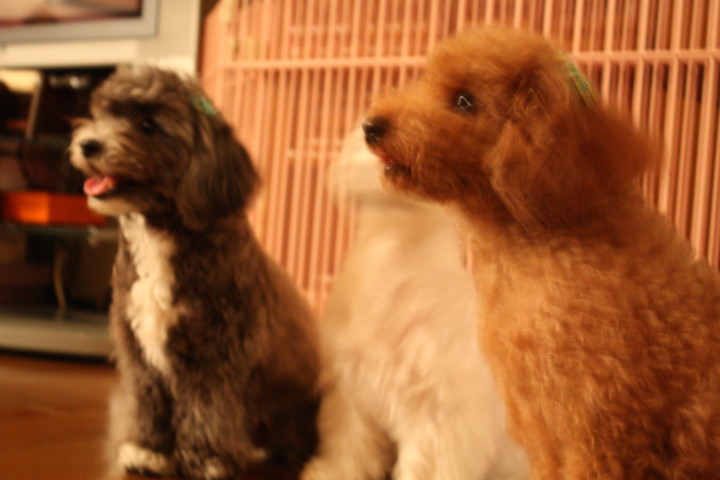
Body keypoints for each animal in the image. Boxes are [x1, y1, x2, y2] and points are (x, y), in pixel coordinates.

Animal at [69, 65, 319, 480]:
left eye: (148, 124)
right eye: (102, 114)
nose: (89, 144)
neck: (162, 231)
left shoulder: (216, 354)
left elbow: (207, 410)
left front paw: (207, 460)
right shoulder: (139, 352)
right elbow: (148, 402)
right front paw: (147, 450)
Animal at [301, 127, 528, 480]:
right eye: (367, 122)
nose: (374, 131)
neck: (397, 246)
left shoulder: (436, 407)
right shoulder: (351, 391)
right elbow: (349, 444)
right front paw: (333, 472)